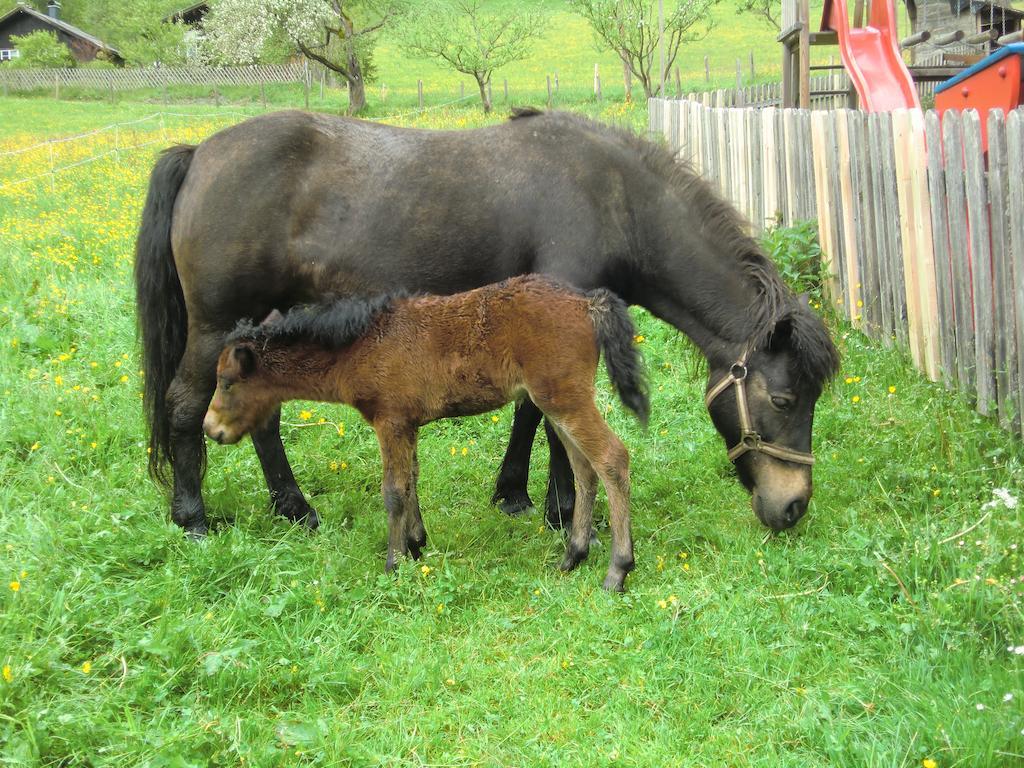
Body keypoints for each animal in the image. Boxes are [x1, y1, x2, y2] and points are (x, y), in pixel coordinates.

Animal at [201, 274, 647, 589]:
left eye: (226, 381)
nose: (211, 428)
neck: (362, 344)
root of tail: (587, 303)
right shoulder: (408, 425)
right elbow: (412, 479)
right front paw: (416, 544)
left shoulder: (391, 421)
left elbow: (393, 491)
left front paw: (393, 562)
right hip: (556, 404)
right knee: (585, 469)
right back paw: (573, 555)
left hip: (564, 399)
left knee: (612, 459)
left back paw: (617, 571)